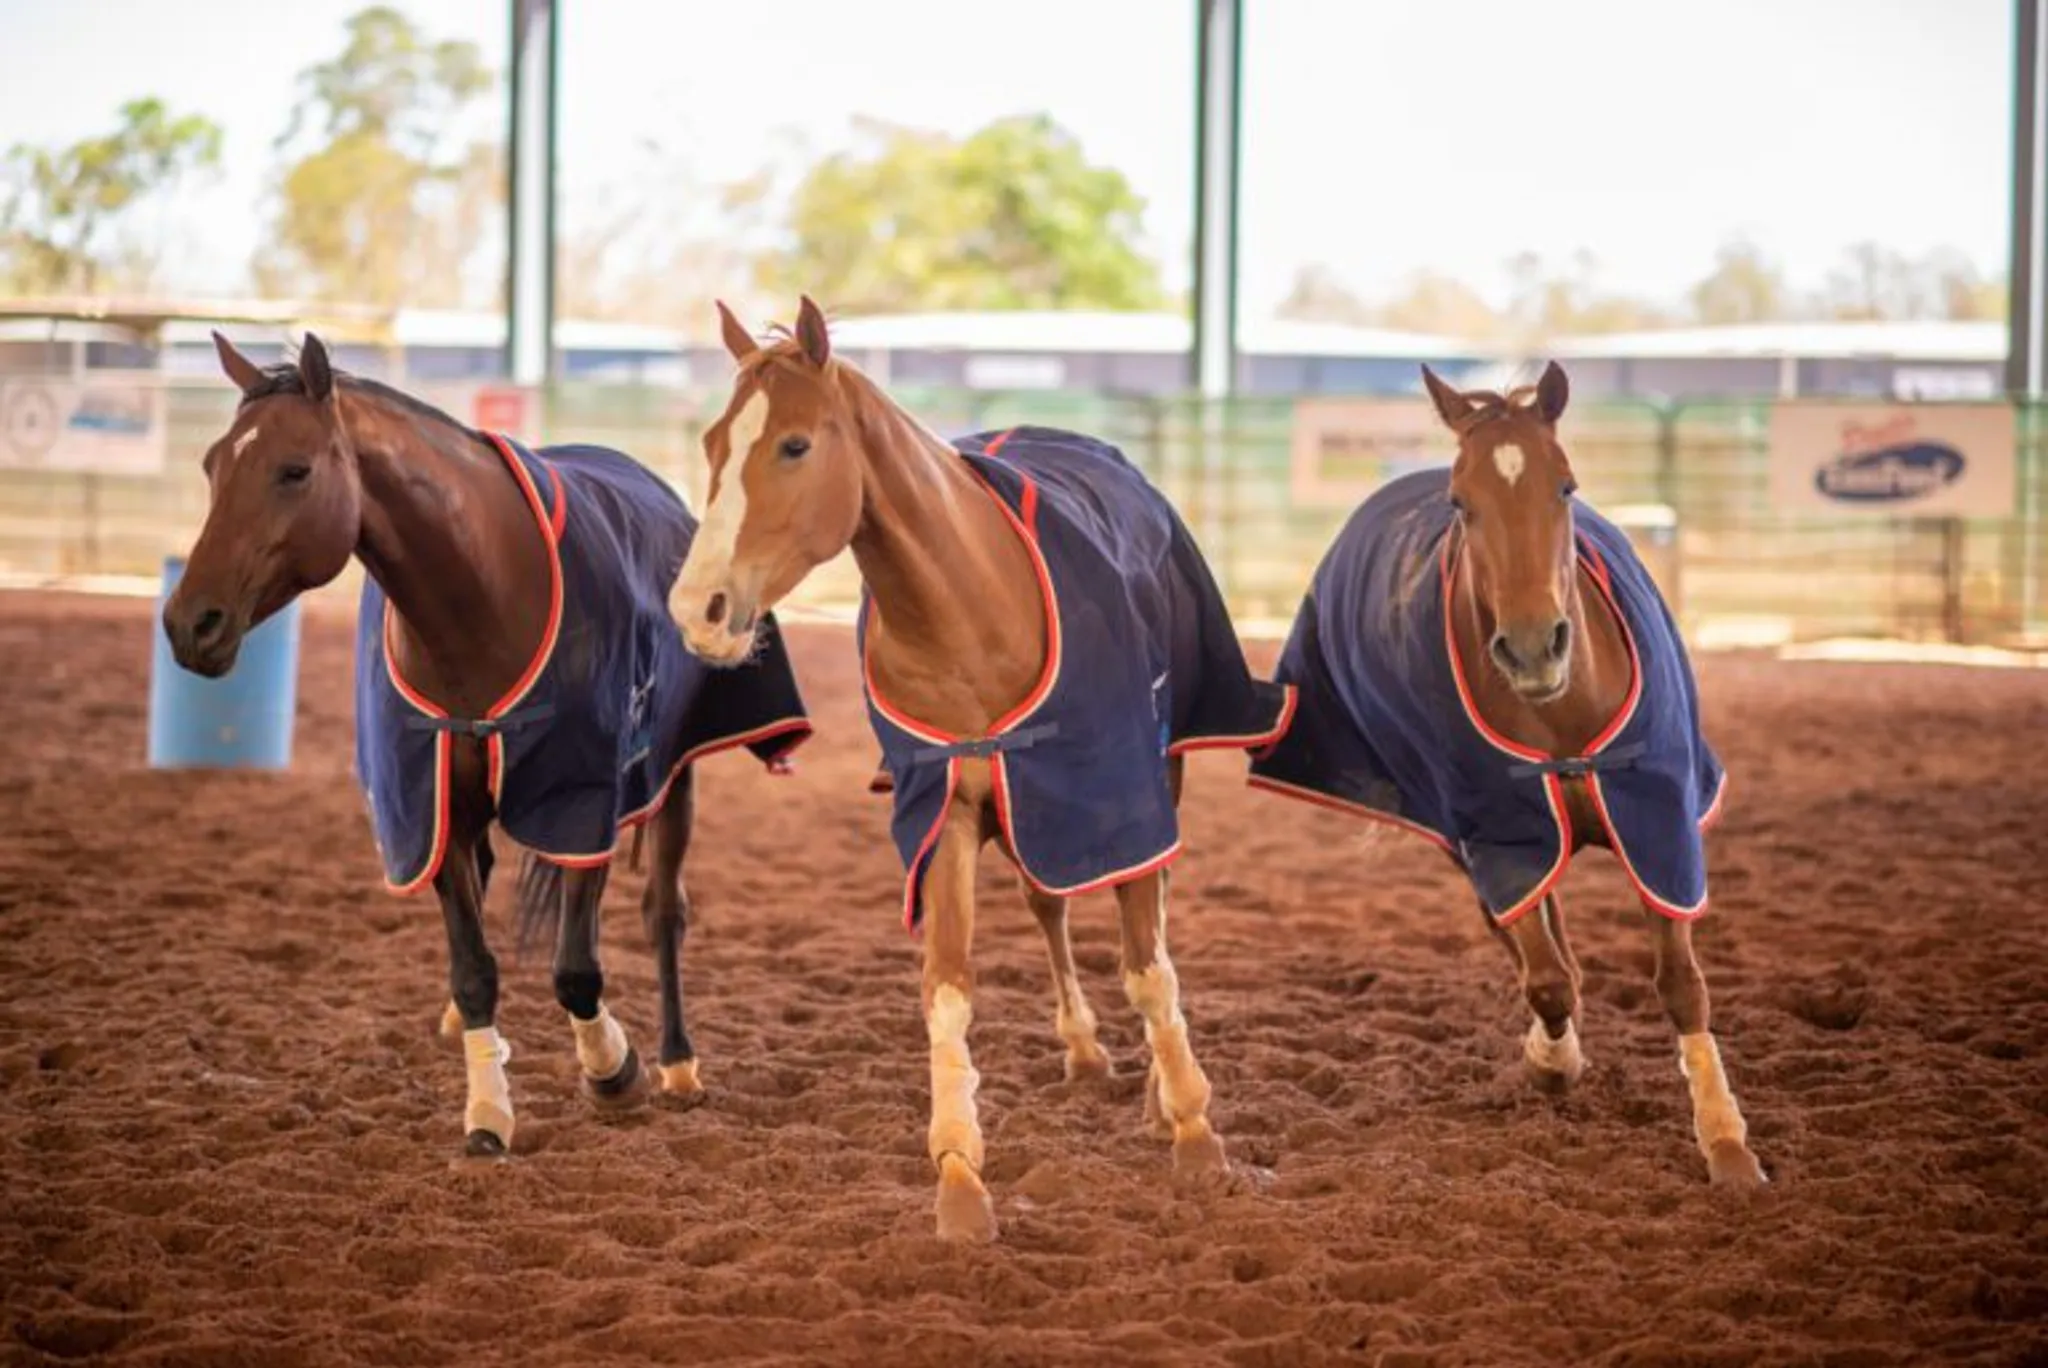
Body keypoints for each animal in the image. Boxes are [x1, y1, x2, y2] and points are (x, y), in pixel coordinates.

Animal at [161, 332, 814, 1159]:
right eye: (214, 465)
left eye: (294, 469)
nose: (190, 623)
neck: (482, 594)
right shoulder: (432, 802)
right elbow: (474, 968)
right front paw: (488, 1110)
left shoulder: (582, 803)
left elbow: (577, 969)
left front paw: (613, 1069)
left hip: (675, 778)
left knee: (664, 910)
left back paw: (676, 1062)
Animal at [667, 297, 1296, 1242]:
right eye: (713, 443)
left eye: (794, 445)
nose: (696, 610)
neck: (971, 607)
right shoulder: (946, 816)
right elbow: (949, 987)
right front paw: (960, 1179)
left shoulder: (1120, 795)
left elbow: (1148, 966)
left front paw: (1195, 1132)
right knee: (1048, 902)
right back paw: (1083, 1049)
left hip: (1164, 771)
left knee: (1152, 914)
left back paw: (1158, 1088)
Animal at [1248, 362, 1766, 1189]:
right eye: (1462, 501)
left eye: (1566, 485)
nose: (1531, 648)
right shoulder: (1501, 835)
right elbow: (1547, 975)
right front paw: (1552, 1060)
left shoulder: (1660, 819)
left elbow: (1682, 984)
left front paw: (1726, 1141)